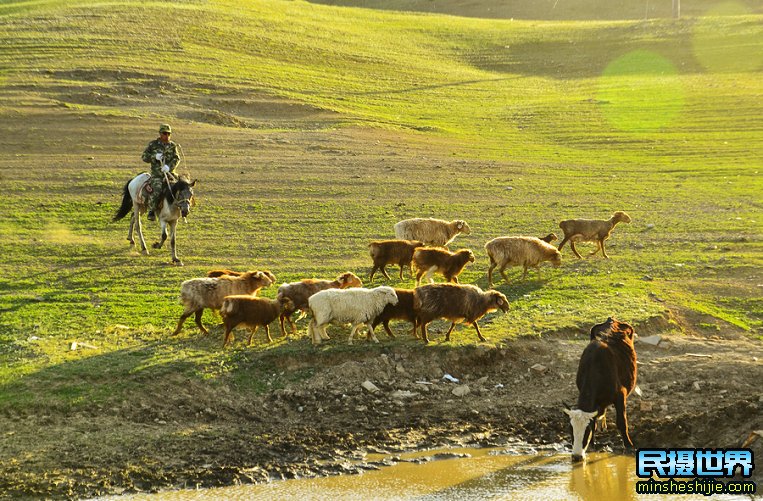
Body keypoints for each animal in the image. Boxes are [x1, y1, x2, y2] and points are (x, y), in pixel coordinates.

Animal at [564, 316, 640, 460]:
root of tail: (612, 320)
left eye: (586, 430)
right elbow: (594, 419)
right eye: (570, 430)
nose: (576, 456)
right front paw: (592, 444)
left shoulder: (620, 395)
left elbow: (621, 422)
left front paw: (629, 445)